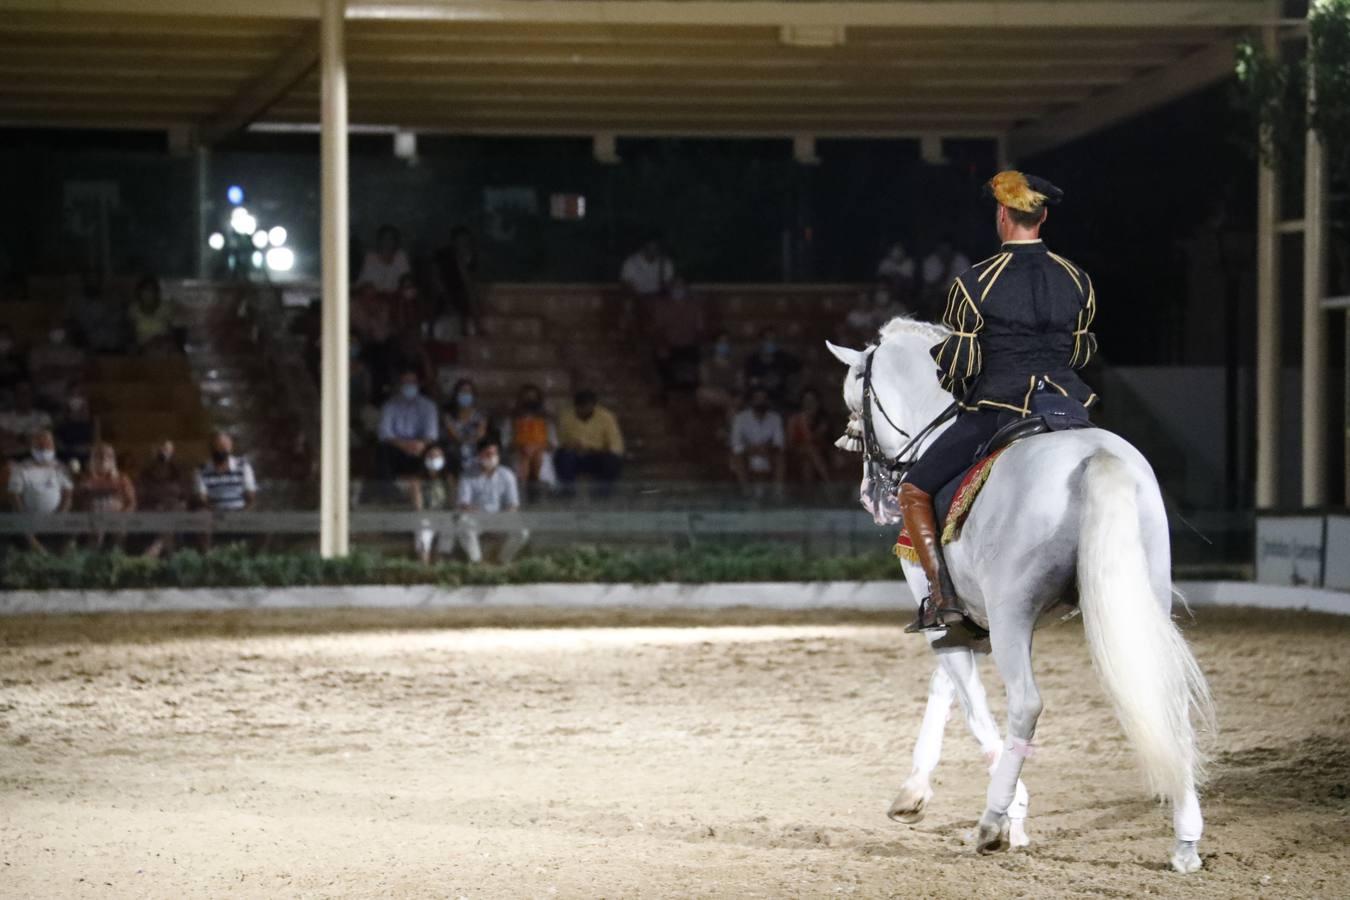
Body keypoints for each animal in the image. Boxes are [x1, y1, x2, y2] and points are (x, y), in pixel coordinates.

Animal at [826, 317, 1220, 874]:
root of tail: (1095, 457)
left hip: (1013, 614)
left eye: (856, 400)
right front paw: (913, 793)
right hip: (1142, 598)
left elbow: (971, 703)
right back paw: (1186, 841)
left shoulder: (951, 616)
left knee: (1025, 705)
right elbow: (947, 689)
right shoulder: (965, 622)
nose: (872, 495)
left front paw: (1013, 809)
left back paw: (990, 821)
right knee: (1164, 690)